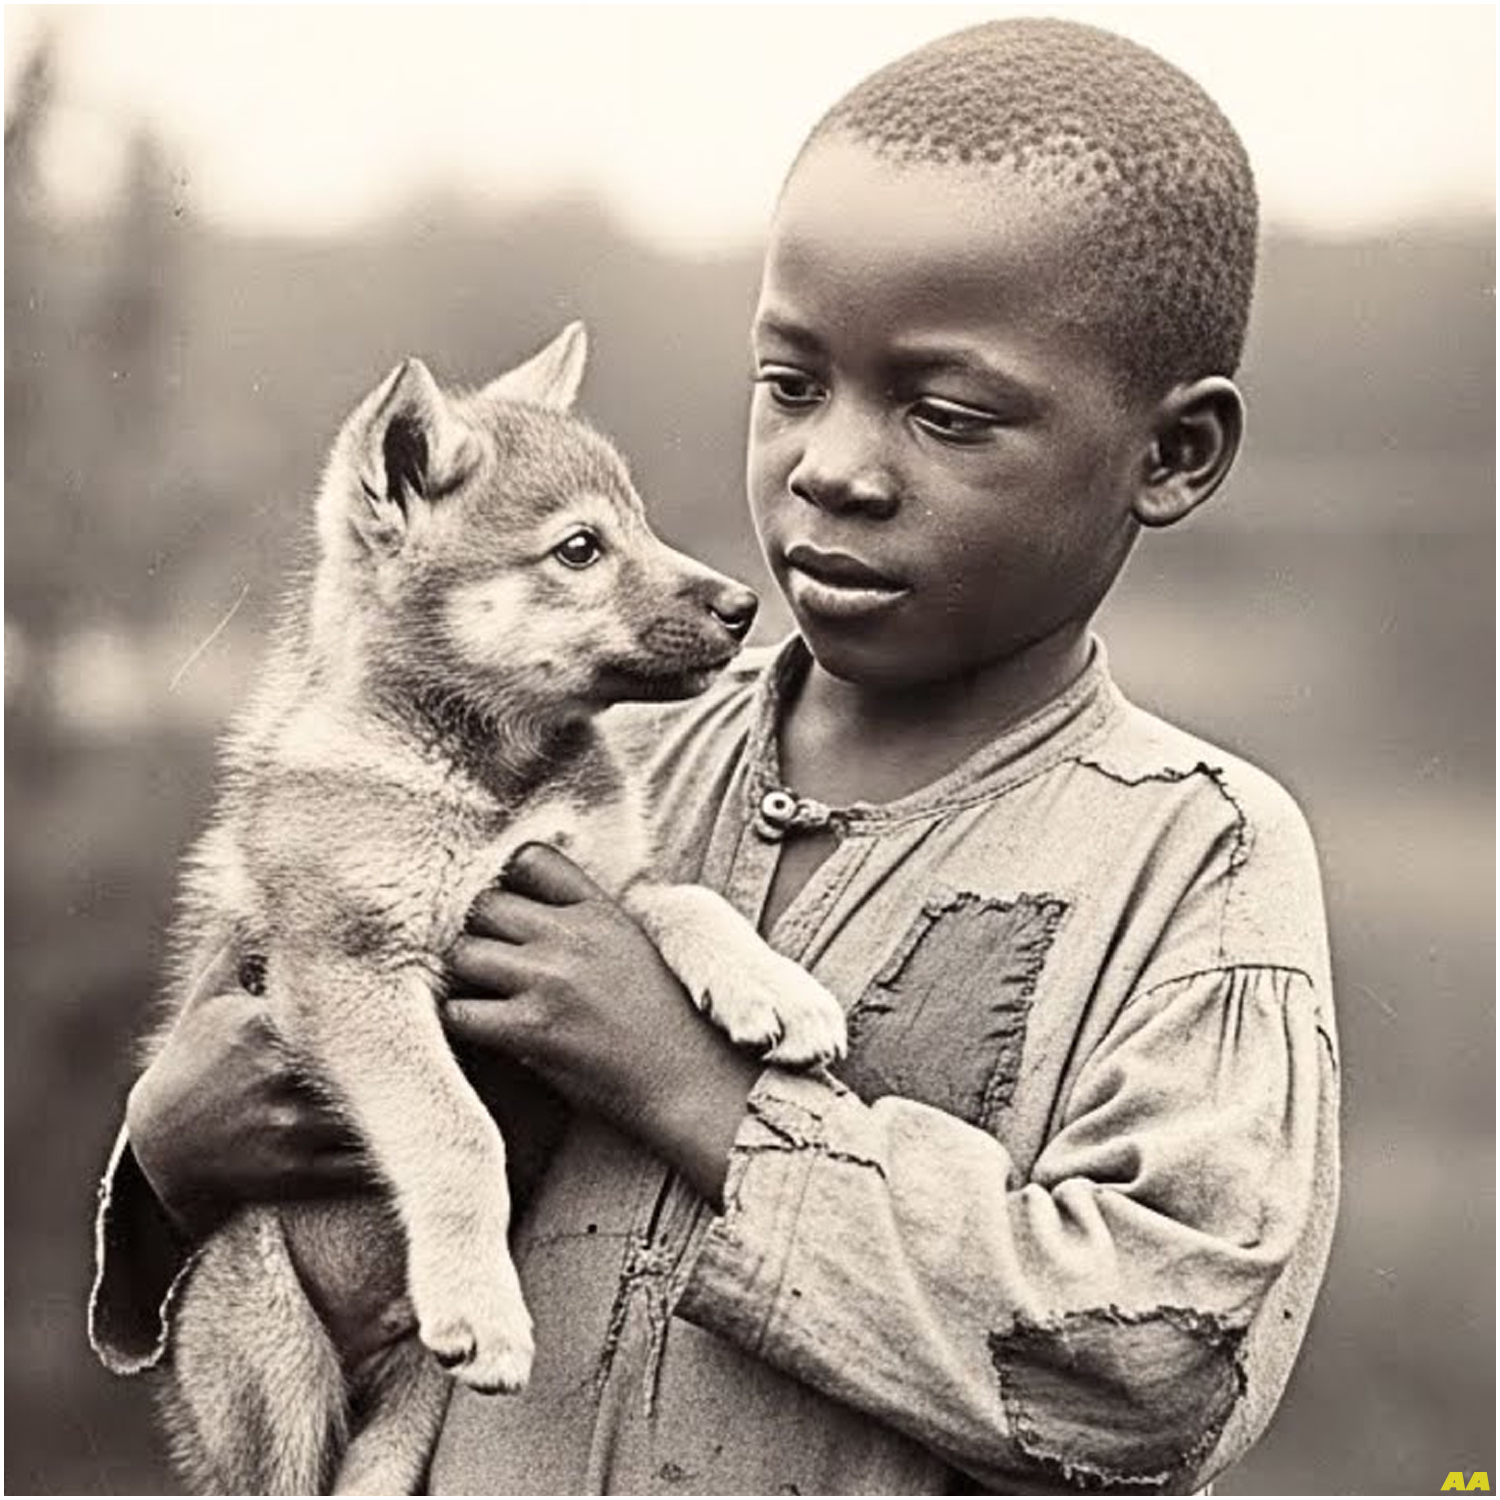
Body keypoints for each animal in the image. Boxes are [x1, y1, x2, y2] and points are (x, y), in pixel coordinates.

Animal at [149, 324, 847, 1495]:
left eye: (639, 522)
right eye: (579, 549)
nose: (744, 605)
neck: (494, 782)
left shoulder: (603, 879)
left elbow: (690, 899)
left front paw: (772, 989)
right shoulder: (353, 968)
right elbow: (454, 1127)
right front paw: (482, 1306)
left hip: (402, 1434)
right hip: (273, 1362)